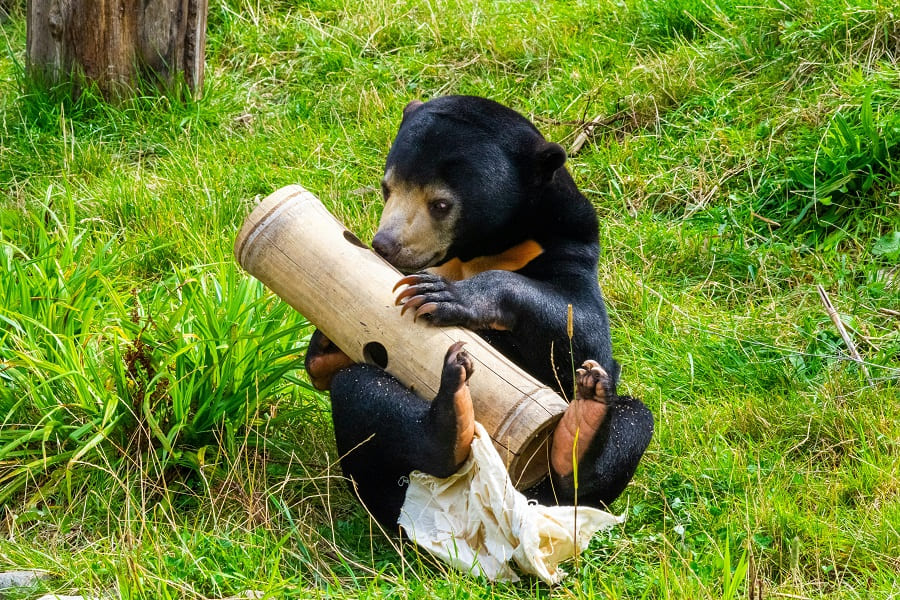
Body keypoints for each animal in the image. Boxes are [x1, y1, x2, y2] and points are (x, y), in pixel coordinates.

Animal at [305, 95, 654, 529]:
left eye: (440, 204)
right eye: (387, 189)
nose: (385, 244)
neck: (477, 251)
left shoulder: (570, 243)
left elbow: (583, 329)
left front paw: (443, 296)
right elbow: (326, 367)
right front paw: (326, 335)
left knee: (631, 423)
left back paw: (581, 426)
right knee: (361, 390)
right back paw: (450, 422)